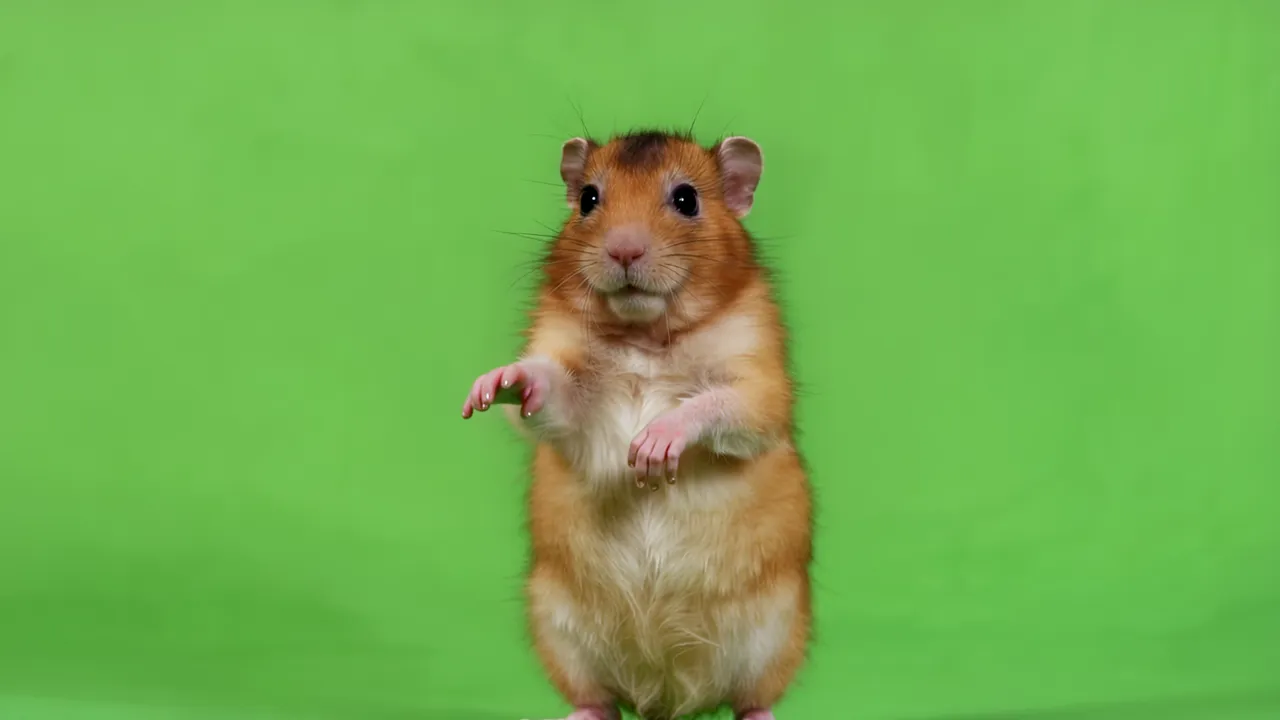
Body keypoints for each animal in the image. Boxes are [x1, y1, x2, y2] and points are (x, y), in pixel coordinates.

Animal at [461, 130, 811, 720]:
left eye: (687, 199)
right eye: (588, 200)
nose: (624, 250)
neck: (645, 335)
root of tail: (666, 696)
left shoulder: (759, 388)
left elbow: (715, 405)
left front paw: (650, 450)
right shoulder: (570, 387)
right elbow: (544, 384)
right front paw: (491, 385)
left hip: (777, 636)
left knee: (752, 700)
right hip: (559, 629)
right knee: (598, 700)